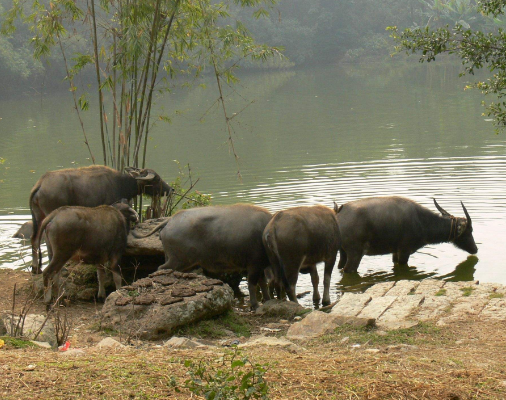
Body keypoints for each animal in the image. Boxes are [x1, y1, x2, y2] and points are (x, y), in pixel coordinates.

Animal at [29, 164, 172, 274]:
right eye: (157, 179)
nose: (171, 189)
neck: (121, 184)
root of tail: (40, 184)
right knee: (46, 240)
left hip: (39, 216)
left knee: (35, 238)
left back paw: (36, 268)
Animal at [336, 196, 478, 274]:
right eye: (469, 231)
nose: (475, 249)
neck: (423, 222)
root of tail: (338, 212)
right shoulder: (404, 251)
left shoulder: (395, 251)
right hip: (355, 254)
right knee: (348, 270)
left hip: (343, 253)